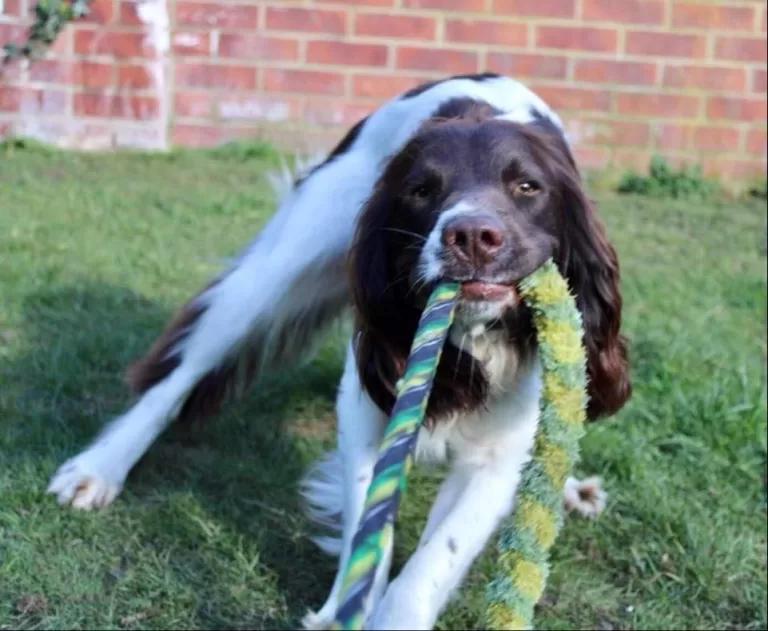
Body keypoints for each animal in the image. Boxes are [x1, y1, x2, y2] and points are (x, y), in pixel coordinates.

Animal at [46, 73, 632, 628]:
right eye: (421, 190)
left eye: (527, 186)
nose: (471, 236)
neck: (469, 342)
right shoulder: (368, 403)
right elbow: (369, 521)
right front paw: (343, 610)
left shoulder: (497, 456)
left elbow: (432, 561)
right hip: (281, 266)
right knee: (179, 374)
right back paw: (99, 467)